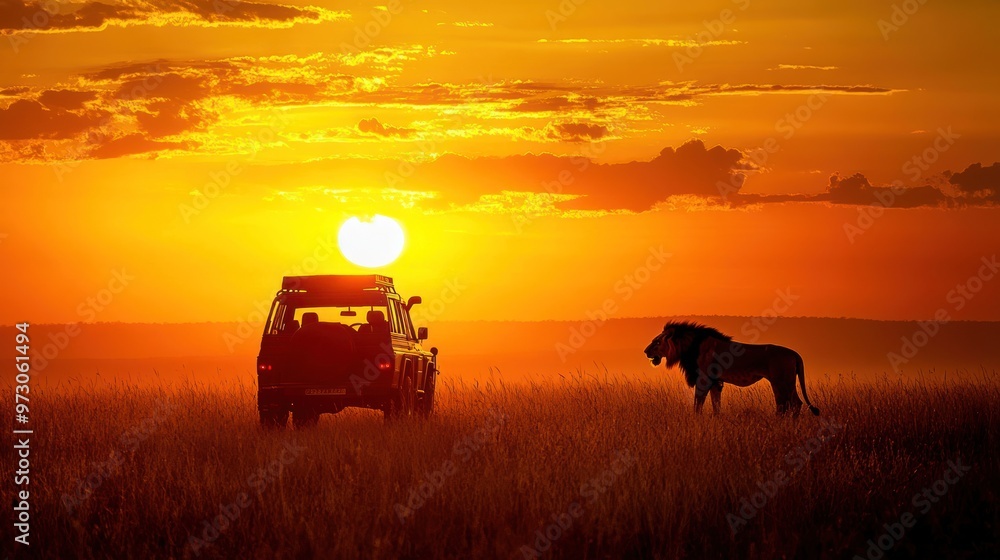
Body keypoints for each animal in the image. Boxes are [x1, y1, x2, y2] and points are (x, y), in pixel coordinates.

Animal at [644, 321, 819, 417]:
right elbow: (716, 406)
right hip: (786, 381)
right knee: (793, 404)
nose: (645, 351)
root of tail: (794, 353)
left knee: (789, 404)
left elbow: (697, 405)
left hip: (781, 381)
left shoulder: (703, 379)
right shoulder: (715, 382)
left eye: (657, 342)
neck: (691, 347)